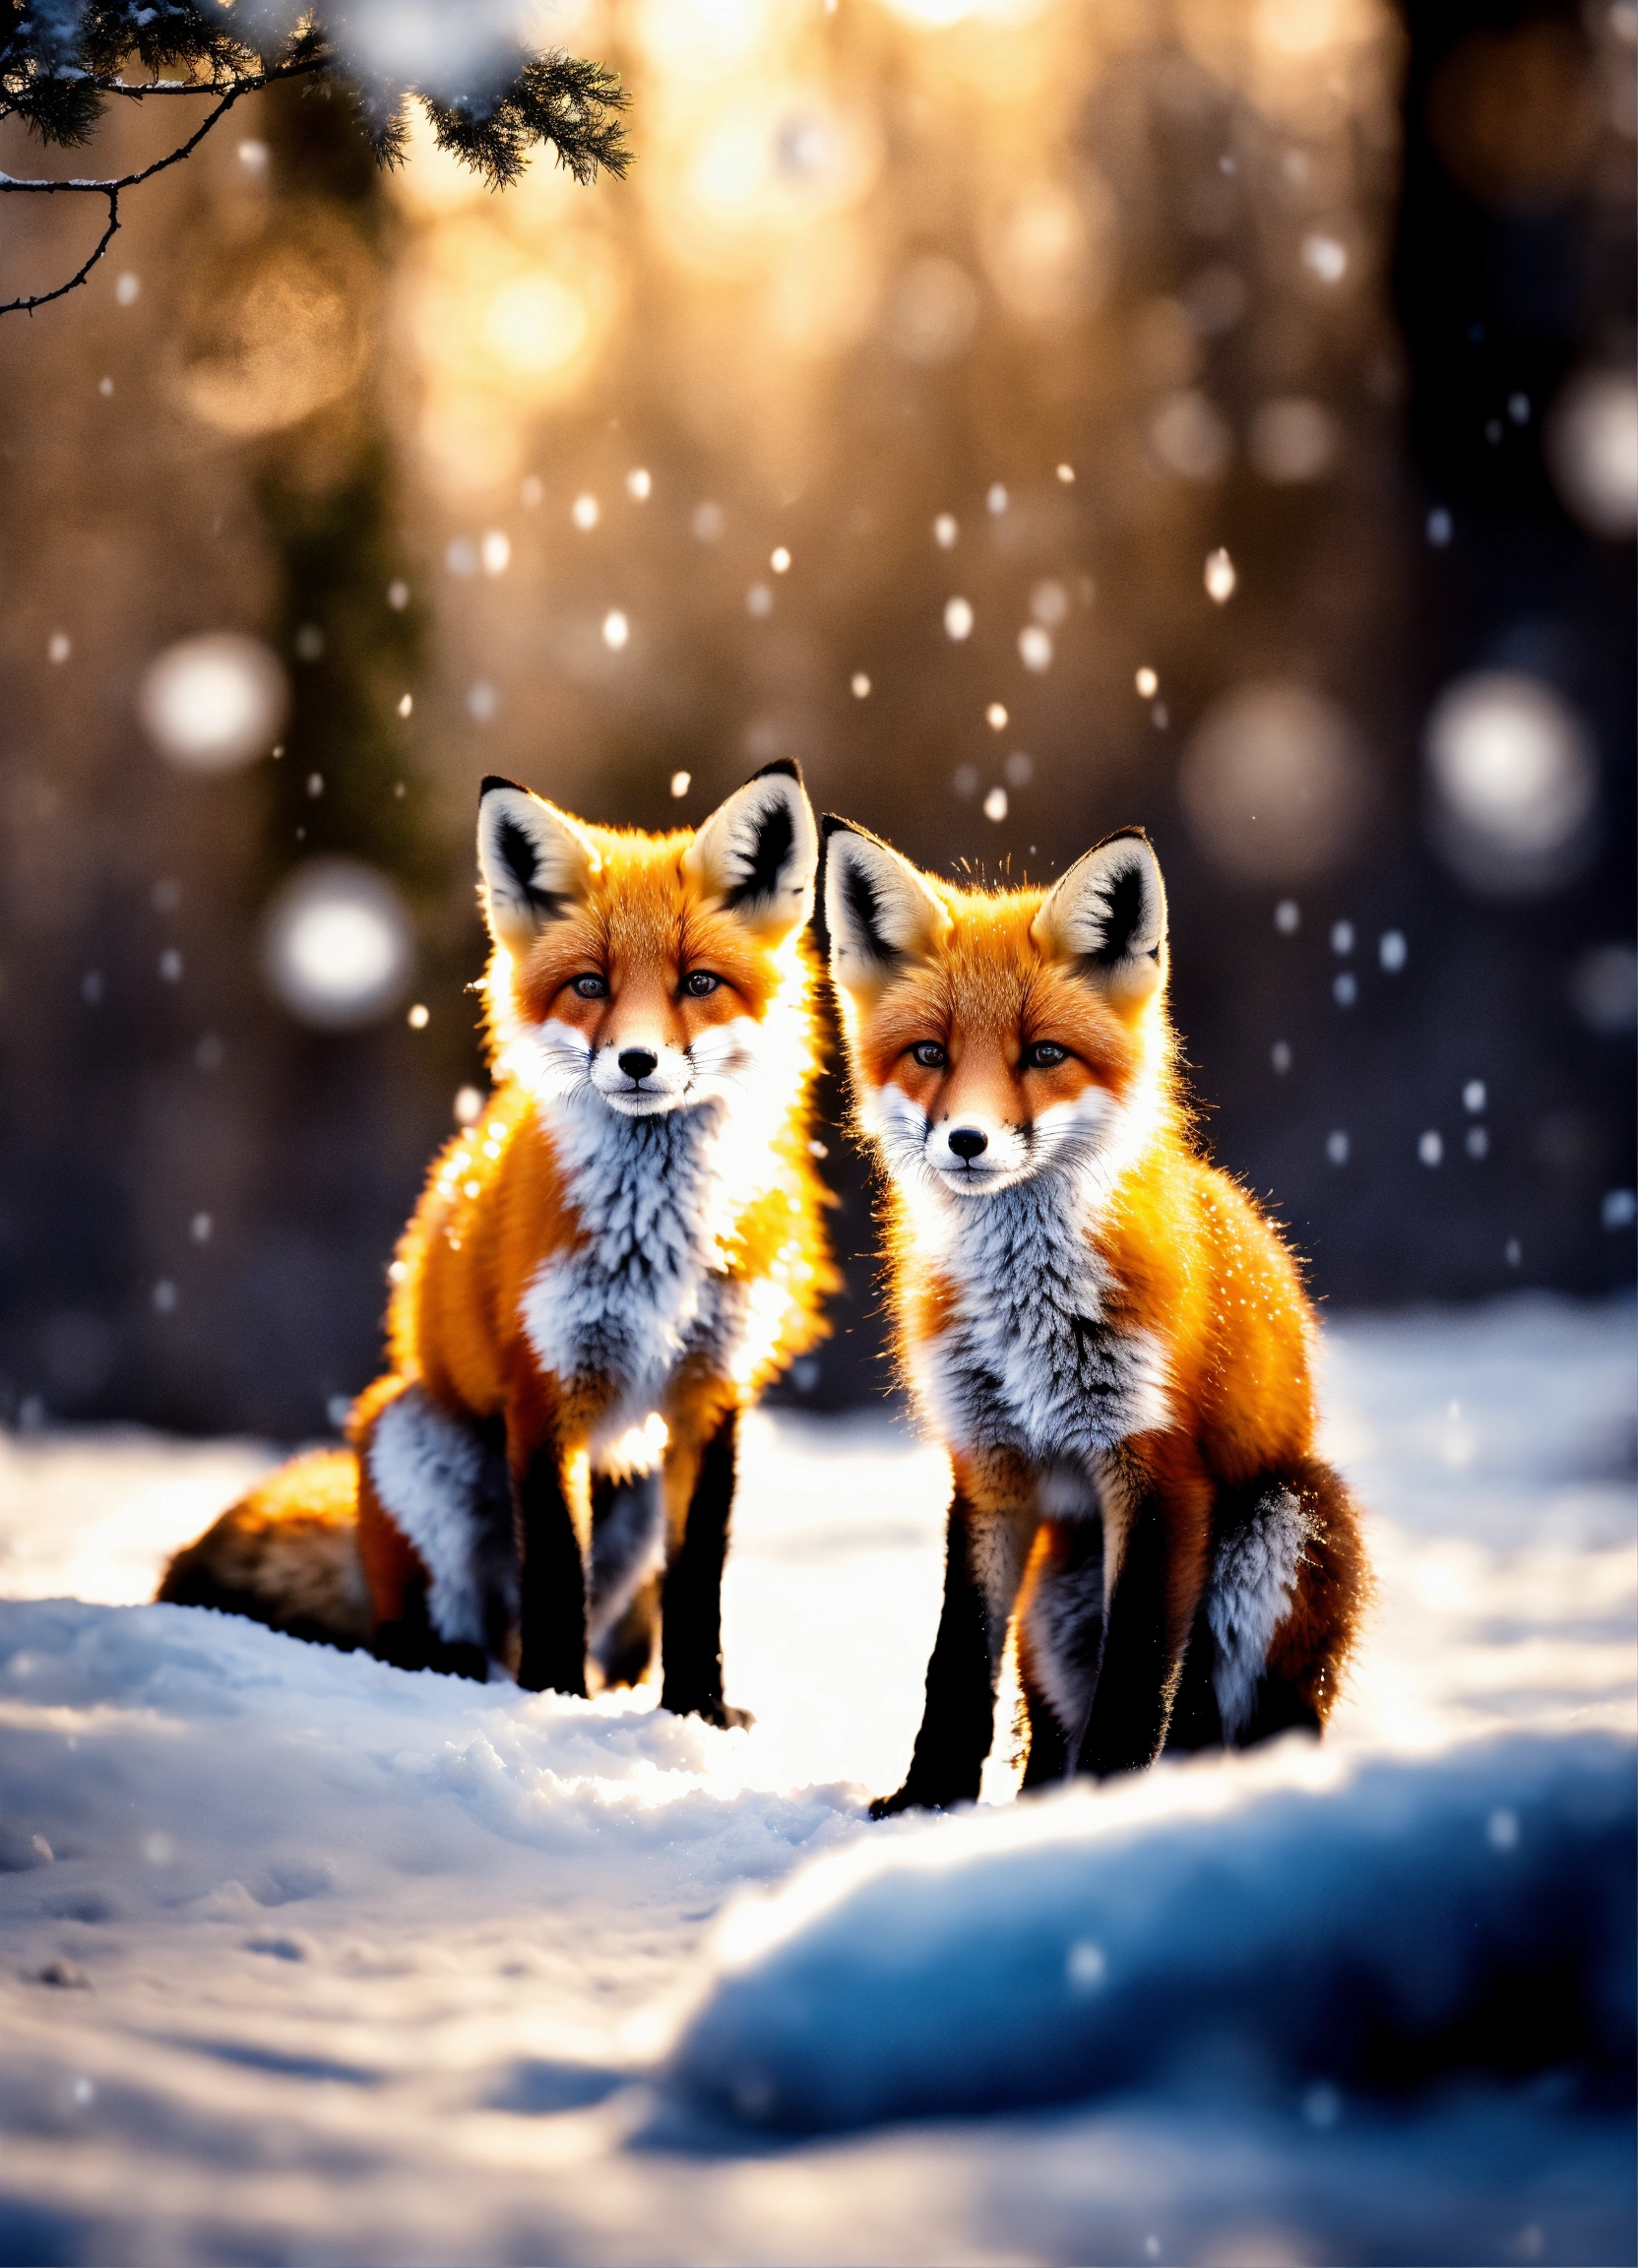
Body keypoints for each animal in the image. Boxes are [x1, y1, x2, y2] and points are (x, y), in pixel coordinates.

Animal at [160, 763, 833, 1721]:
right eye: (589, 985)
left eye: (698, 983)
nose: (636, 1062)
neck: (652, 1245)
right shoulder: (542, 1385)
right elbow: (553, 1568)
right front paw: (555, 1705)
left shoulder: (711, 1391)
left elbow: (698, 1579)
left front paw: (698, 1713)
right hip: (410, 1439)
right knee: (431, 1636)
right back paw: (469, 1674)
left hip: (633, 1489)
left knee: (611, 1630)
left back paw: (618, 1688)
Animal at [821, 817, 1369, 1813]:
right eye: (930, 1053)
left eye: (1043, 1054)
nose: (967, 1141)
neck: (1027, 1317)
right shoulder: (989, 1464)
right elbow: (957, 1665)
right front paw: (926, 1802)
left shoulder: (1158, 1469)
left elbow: (1139, 1672)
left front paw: (1108, 1804)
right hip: (1054, 1593)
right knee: (1050, 1731)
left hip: (1283, 1517)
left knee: (1231, 1720)